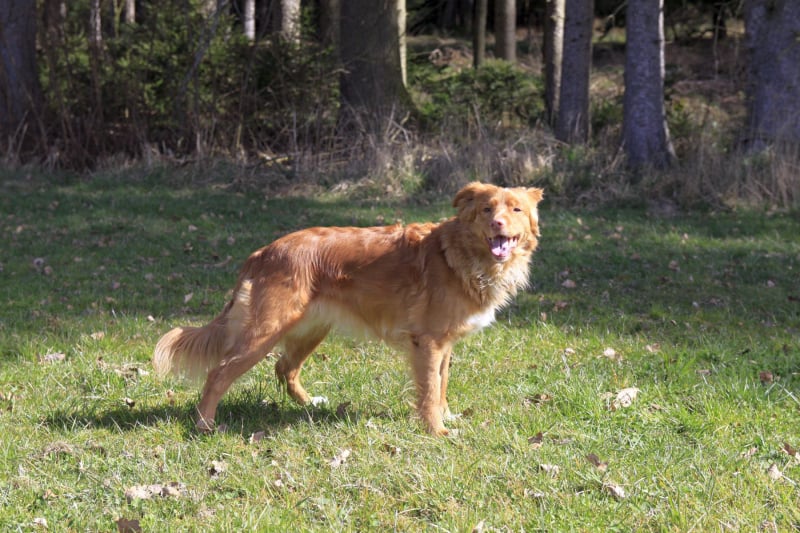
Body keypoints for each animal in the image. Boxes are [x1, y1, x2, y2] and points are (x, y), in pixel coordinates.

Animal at [154, 182, 543, 436]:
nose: (498, 224)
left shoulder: (444, 344)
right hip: (264, 333)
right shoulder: (428, 341)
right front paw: (436, 430)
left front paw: (447, 416)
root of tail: (263, 252)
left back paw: (310, 404)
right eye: (487, 209)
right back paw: (204, 424)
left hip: (310, 330)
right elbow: (430, 389)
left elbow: (442, 383)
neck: (458, 254)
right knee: (219, 374)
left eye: (516, 209)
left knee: (284, 367)